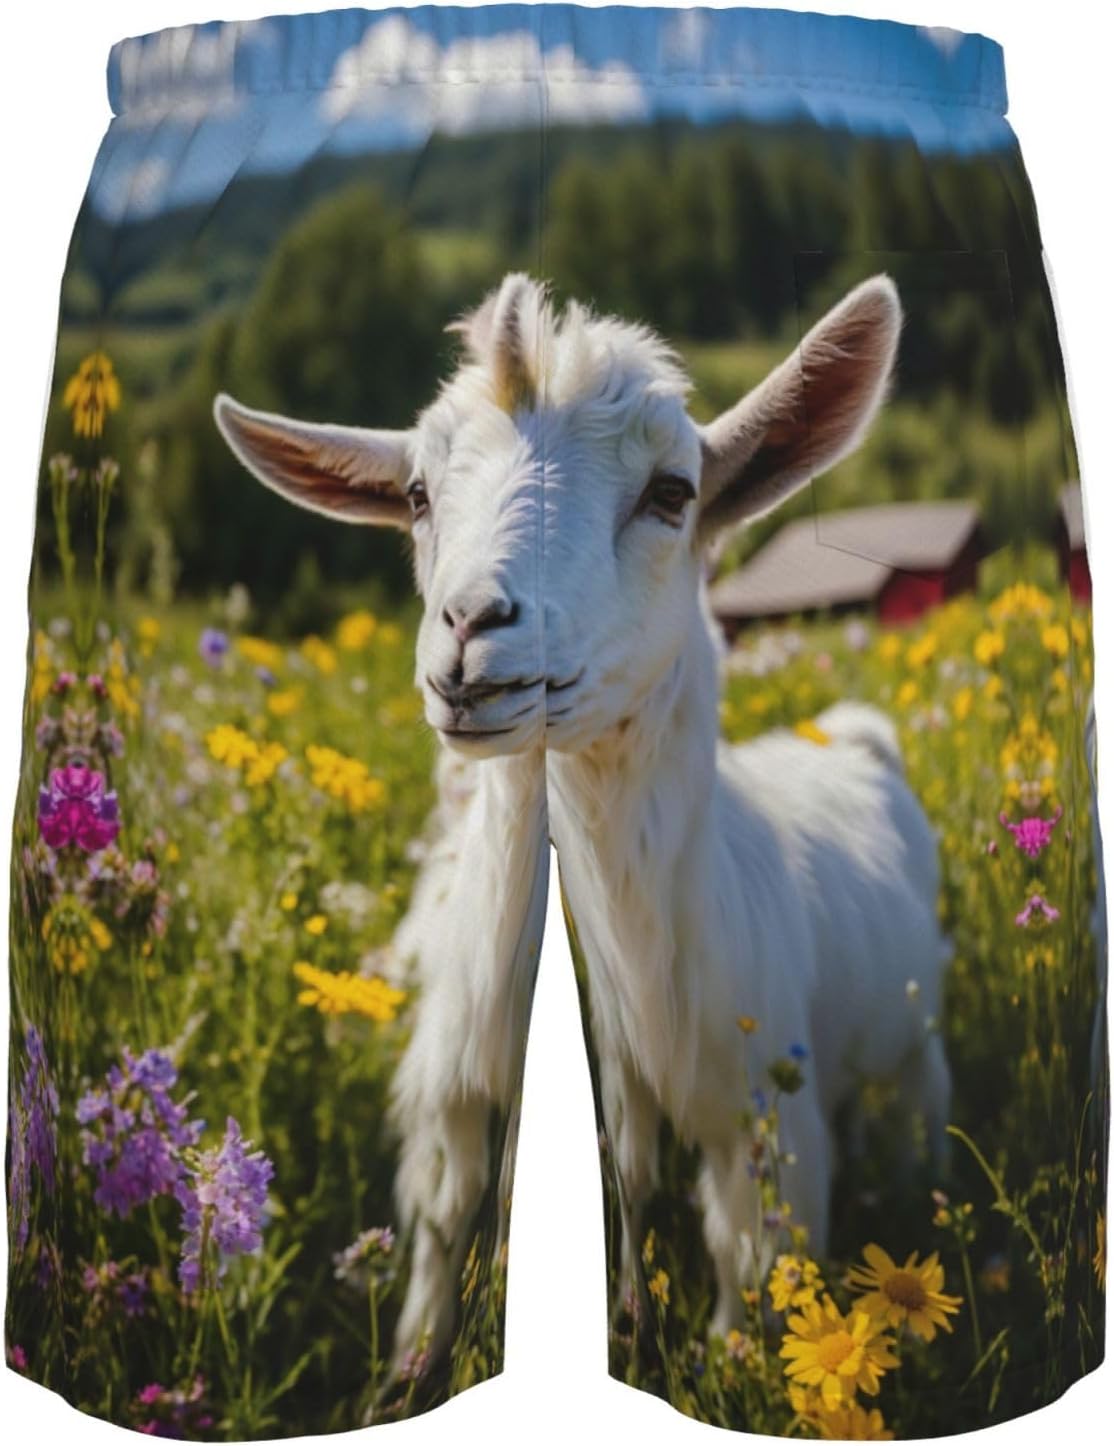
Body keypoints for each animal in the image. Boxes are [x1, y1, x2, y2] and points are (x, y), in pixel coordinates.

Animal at [214, 271, 951, 1367]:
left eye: (672, 493)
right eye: (418, 495)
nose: (473, 632)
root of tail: (853, 737)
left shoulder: (758, 1117)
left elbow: (747, 1265)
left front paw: (733, 1363)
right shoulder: (454, 1090)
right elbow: (440, 1233)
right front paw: (407, 1370)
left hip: (914, 1032)